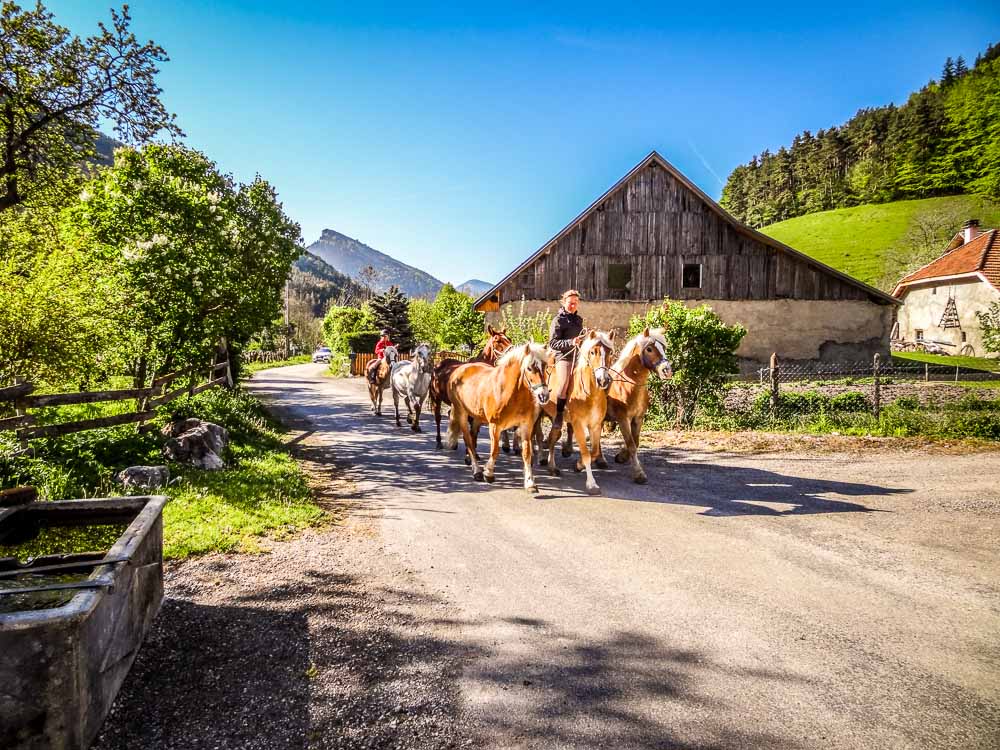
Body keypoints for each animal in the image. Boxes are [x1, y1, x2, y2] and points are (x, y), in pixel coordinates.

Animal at [428, 324, 512, 452]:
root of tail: (438, 365)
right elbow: (472, 430)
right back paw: (439, 442)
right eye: (497, 340)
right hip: (436, 398)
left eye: (509, 339)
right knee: (438, 418)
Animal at [450, 342, 552, 494]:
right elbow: (495, 450)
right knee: (468, 439)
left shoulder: (526, 425)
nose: (543, 396)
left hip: (477, 417)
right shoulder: (495, 426)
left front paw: (530, 483)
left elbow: (527, 453)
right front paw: (488, 473)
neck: (511, 393)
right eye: (529, 368)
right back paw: (477, 471)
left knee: (473, 437)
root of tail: (459, 370)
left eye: (545, 366)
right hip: (461, 413)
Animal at [544, 332, 612, 496]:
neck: (590, 394)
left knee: (552, 438)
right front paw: (592, 484)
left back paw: (552, 467)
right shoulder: (578, 425)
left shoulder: (595, 425)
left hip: (556, 419)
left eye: (610, 352)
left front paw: (578, 465)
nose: (603, 380)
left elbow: (594, 452)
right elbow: (586, 454)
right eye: (593, 352)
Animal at [560, 328, 668, 482]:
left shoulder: (638, 418)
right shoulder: (623, 419)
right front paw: (638, 473)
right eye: (649, 349)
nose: (667, 370)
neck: (630, 385)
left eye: (664, 348)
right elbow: (631, 444)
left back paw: (600, 460)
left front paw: (622, 457)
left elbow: (635, 442)